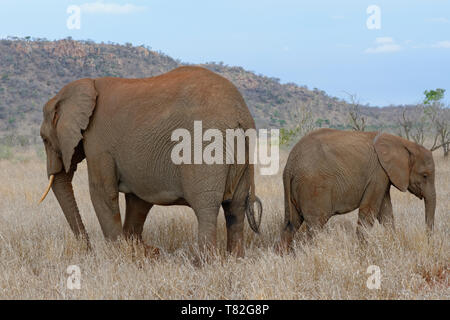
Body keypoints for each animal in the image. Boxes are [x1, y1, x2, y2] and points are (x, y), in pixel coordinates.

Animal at [40, 65, 264, 258]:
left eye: (44, 139)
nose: (89, 250)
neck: (86, 86)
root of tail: (240, 116)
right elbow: (138, 200)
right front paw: (136, 252)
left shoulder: (98, 143)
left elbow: (102, 192)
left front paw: (118, 256)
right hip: (242, 157)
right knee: (235, 209)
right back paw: (235, 260)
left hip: (206, 147)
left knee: (206, 208)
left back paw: (204, 263)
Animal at [280, 129, 434, 249]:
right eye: (425, 175)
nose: (428, 243)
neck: (404, 143)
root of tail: (289, 165)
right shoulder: (378, 173)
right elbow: (369, 211)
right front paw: (363, 253)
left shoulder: (383, 175)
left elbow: (385, 213)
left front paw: (394, 247)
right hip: (313, 186)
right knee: (316, 225)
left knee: (291, 224)